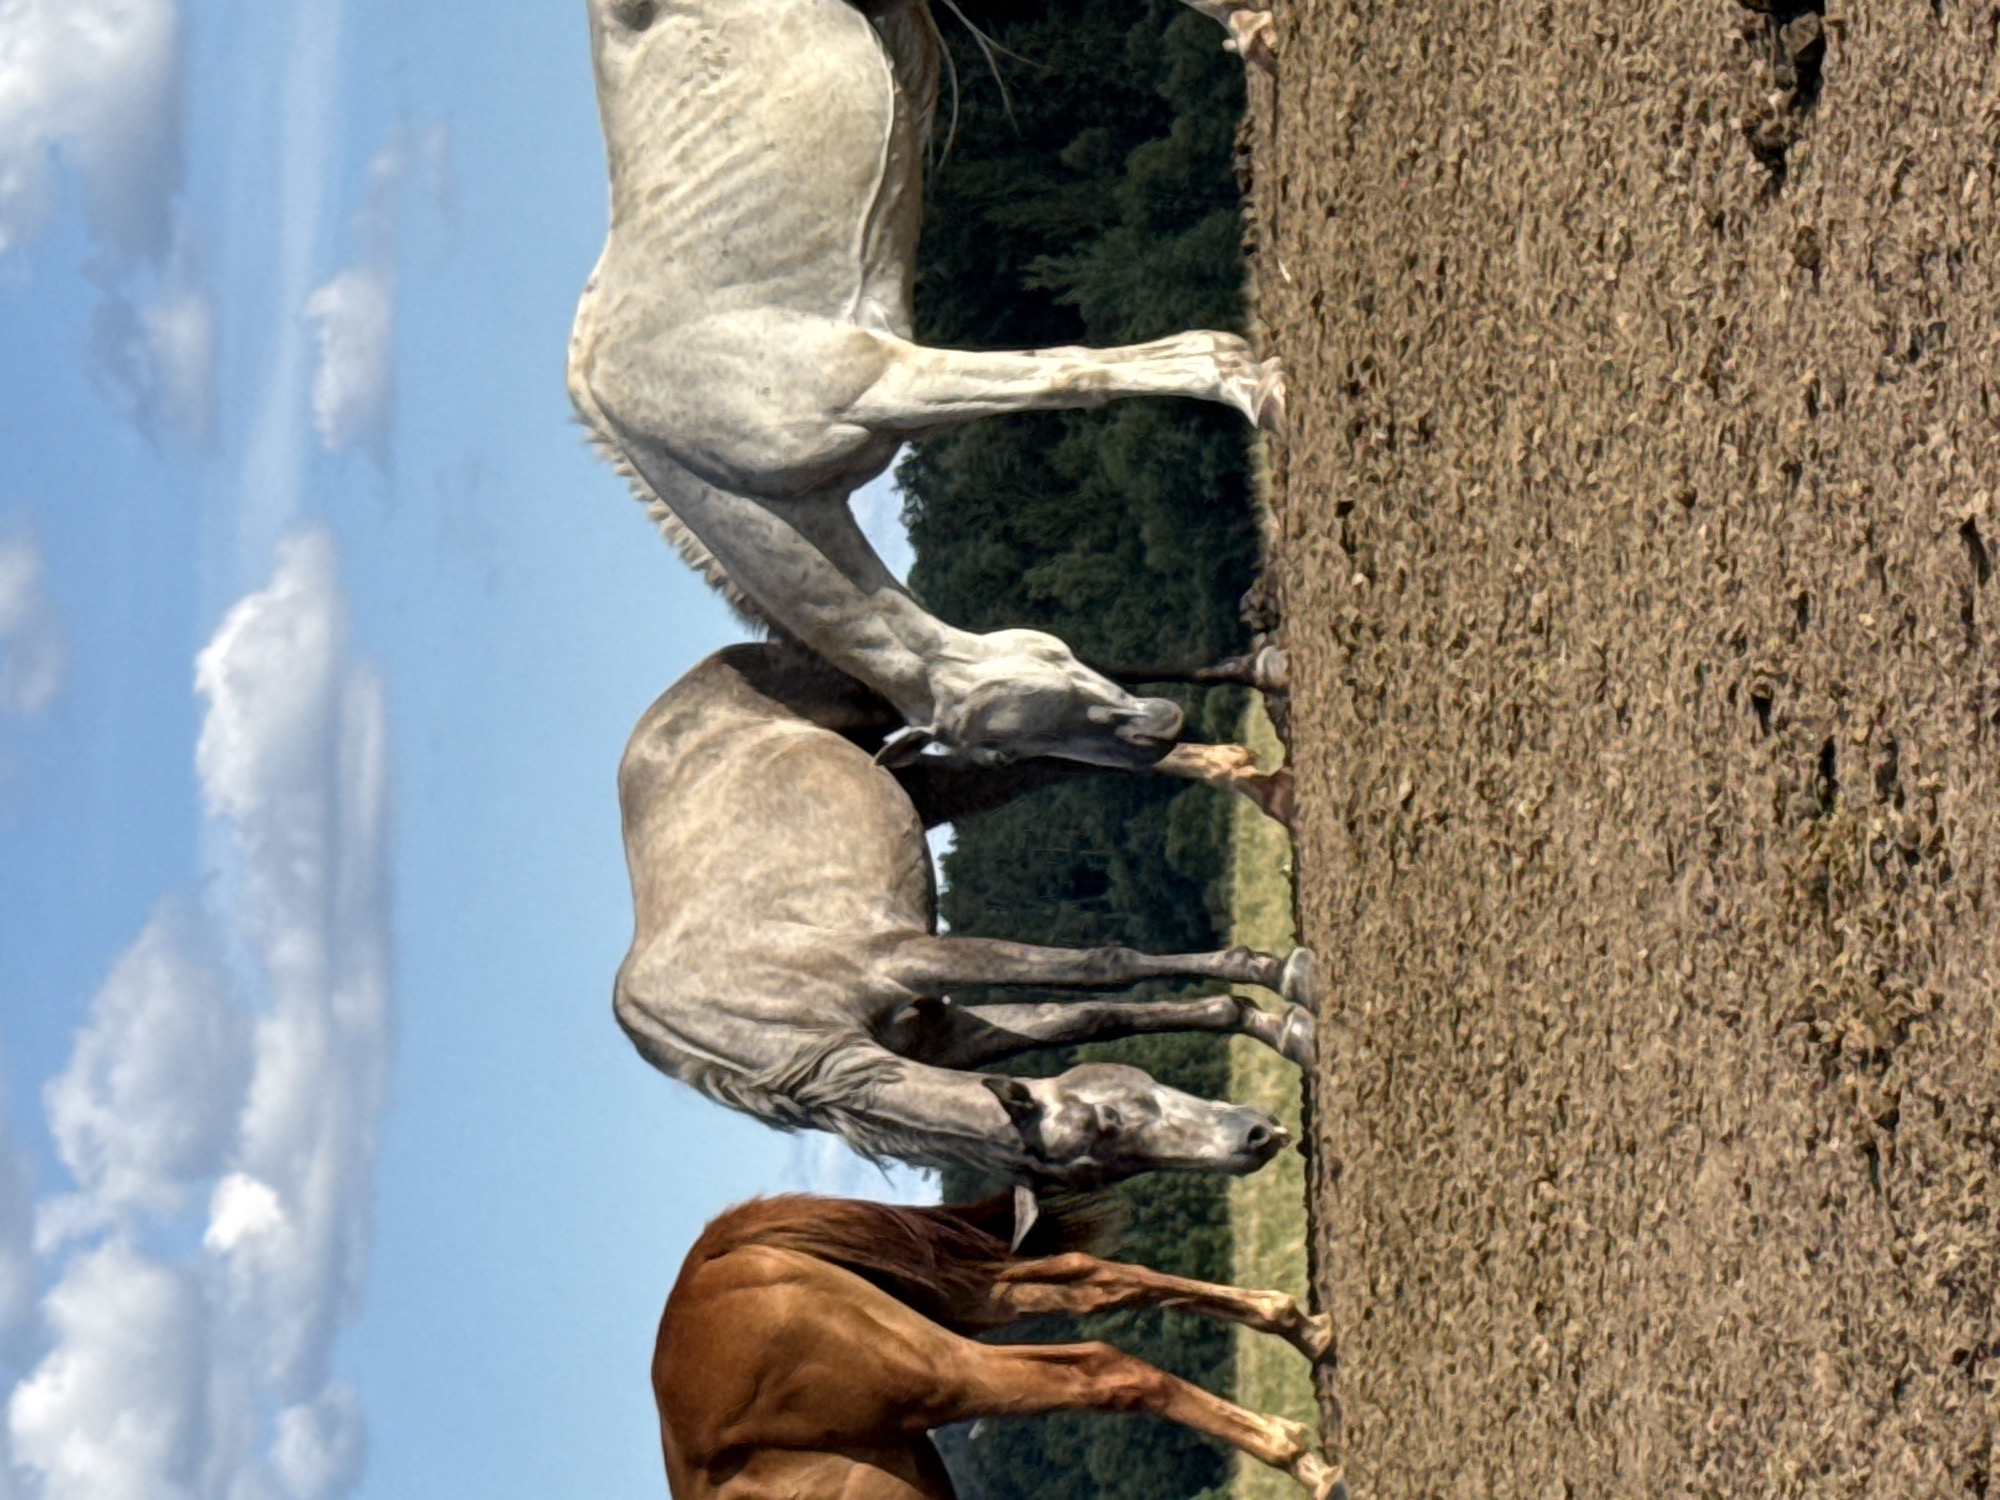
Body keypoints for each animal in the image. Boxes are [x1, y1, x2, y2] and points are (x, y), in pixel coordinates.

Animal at [568, 0, 1285, 771]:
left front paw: (1253, 384)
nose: (1159, 733)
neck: (703, 457)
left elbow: (1070, 373)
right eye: (1003, 748)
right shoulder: (896, 392)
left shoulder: (880, 385)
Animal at [616, 641, 1320, 1186]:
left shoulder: (908, 956)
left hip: (887, 699)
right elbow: (1089, 1015)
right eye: (1104, 1152)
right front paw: (1275, 1026)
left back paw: (1266, 672)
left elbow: (1103, 965)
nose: (1256, 1139)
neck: (756, 1028)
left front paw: (1287, 977)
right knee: (1063, 753)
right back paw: (1251, 773)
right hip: (927, 782)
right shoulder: (944, 1035)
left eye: (1107, 1121)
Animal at [652, 1192, 1346, 1500]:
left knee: (1105, 1371)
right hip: (960, 1300)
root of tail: (704, 1268)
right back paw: (1302, 1326)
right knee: (1092, 1278)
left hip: (937, 1373)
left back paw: (1302, 1458)